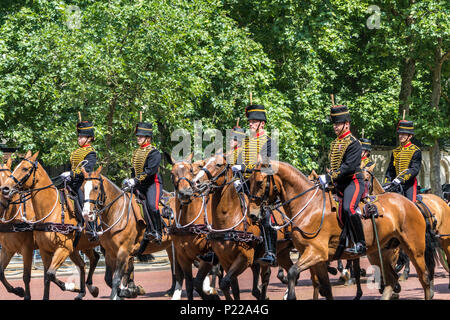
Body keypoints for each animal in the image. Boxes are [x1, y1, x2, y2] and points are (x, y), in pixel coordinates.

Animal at [0, 152, 100, 300]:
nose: (5, 189)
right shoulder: (10, 249)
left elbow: (32, 276)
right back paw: (85, 290)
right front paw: (18, 291)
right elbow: (2, 272)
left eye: (25, 168)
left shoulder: (29, 249)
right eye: (14, 169)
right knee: (88, 261)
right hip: (80, 246)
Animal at [192, 154, 296, 300]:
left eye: (218, 165)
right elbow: (231, 287)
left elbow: (224, 283)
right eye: (204, 163)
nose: (196, 182)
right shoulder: (226, 261)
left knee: (266, 277)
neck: (229, 218)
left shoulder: (245, 258)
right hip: (282, 252)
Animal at [246, 161, 436, 298]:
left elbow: (293, 273)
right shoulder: (318, 260)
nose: (253, 214)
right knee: (391, 280)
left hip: (414, 249)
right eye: (249, 182)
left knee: (424, 278)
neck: (308, 206)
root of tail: (409, 203)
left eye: (260, 182)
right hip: (379, 252)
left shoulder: (316, 253)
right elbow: (325, 288)